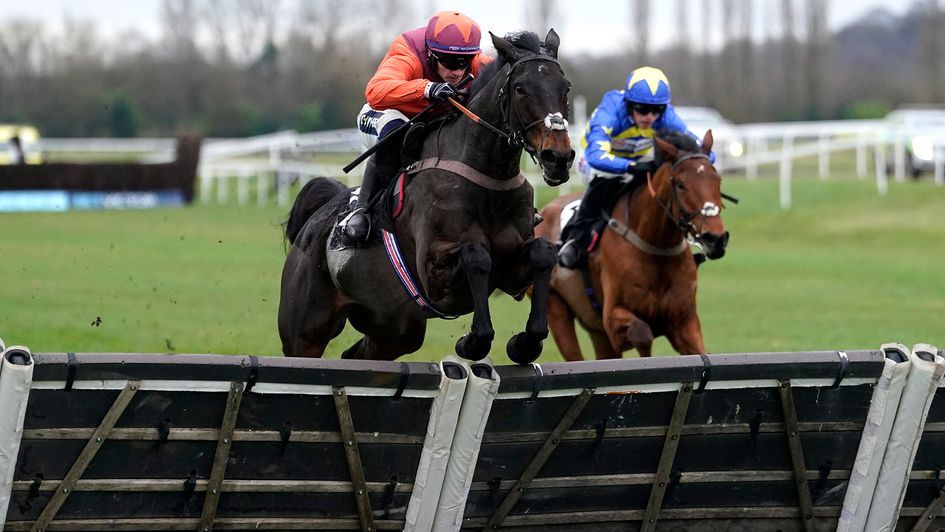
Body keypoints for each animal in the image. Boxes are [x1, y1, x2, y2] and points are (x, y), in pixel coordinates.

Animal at [280, 31, 572, 364]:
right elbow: (476, 255)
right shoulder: (434, 274)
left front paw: (525, 343)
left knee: (358, 355)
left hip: (394, 329)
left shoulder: (512, 269)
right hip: (304, 334)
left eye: (565, 87)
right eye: (521, 88)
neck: (487, 176)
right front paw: (473, 341)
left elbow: (542, 252)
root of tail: (314, 224)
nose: (558, 158)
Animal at [536, 131, 728, 360]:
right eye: (680, 184)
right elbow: (642, 333)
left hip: (595, 329)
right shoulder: (612, 319)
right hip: (556, 310)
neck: (656, 248)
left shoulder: (684, 322)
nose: (715, 238)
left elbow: (699, 351)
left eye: (718, 181)